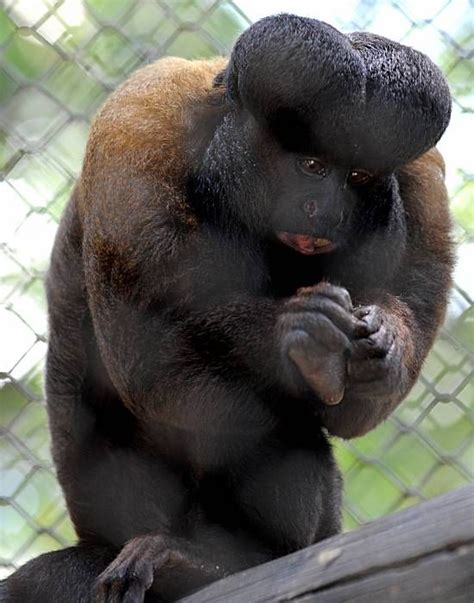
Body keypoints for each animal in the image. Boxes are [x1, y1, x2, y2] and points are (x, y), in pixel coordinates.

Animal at [0, 13, 454, 603]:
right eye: (312, 165)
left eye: (356, 177)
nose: (327, 209)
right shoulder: (136, 125)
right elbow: (149, 363)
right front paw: (296, 332)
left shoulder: (424, 177)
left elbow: (355, 414)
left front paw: (385, 345)